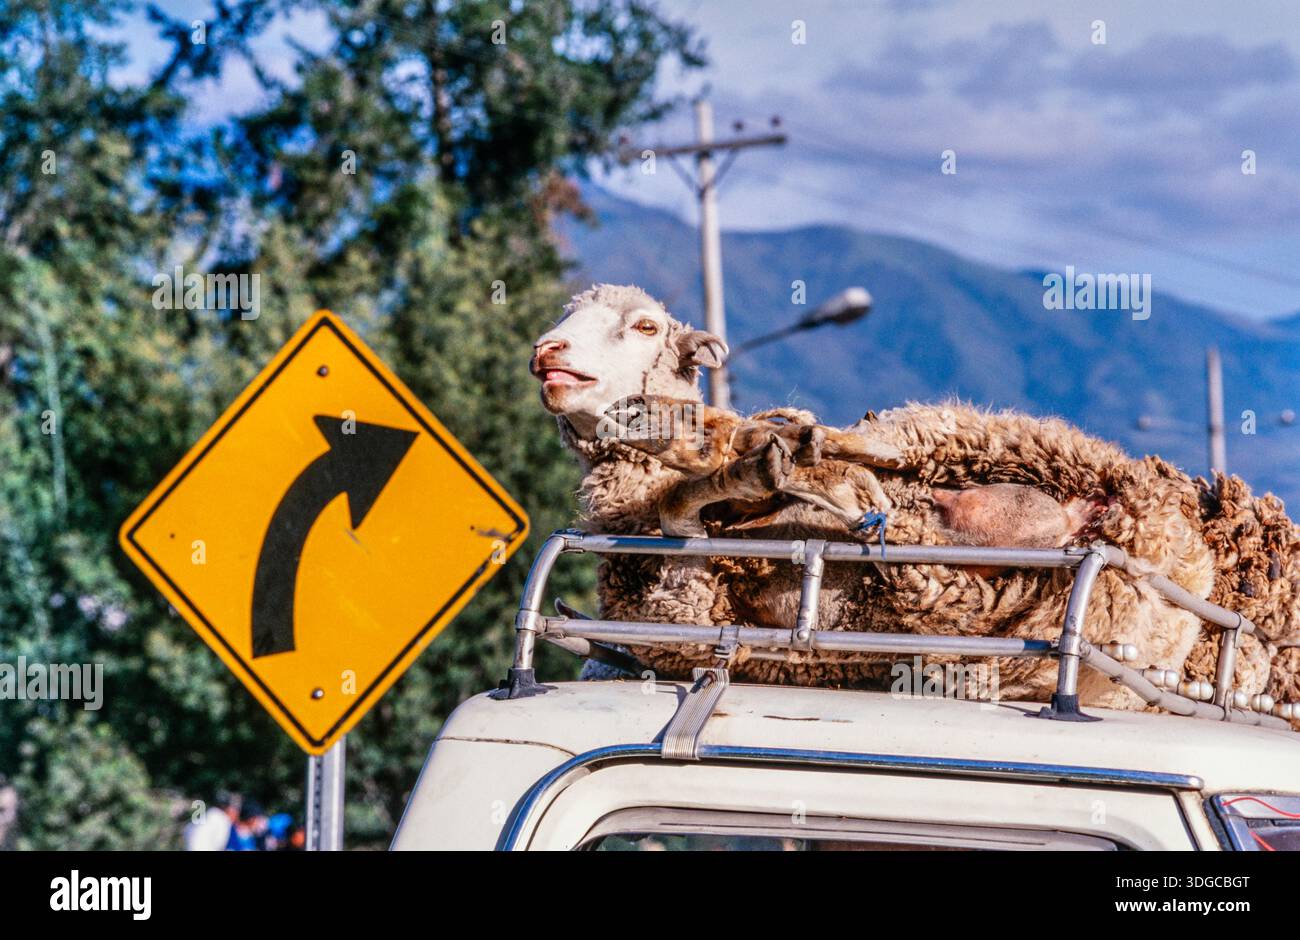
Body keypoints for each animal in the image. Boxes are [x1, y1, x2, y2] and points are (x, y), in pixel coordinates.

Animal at [532, 284, 1299, 721]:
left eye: (645, 327)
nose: (548, 351)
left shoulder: (685, 581)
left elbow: (685, 499)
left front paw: (726, 456)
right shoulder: (688, 604)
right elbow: (687, 506)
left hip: (954, 431)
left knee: (858, 448)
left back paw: (788, 445)